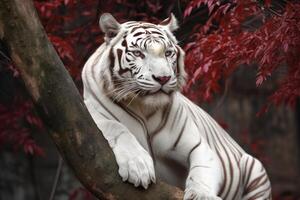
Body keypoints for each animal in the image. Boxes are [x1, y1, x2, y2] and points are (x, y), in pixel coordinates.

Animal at [81, 13, 272, 199]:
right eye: (138, 53)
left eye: (168, 53)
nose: (163, 78)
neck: (144, 107)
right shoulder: (88, 114)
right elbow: (115, 126)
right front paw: (138, 166)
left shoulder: (199, 146)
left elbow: (202, 171)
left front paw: (201, 194)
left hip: (256, 168)